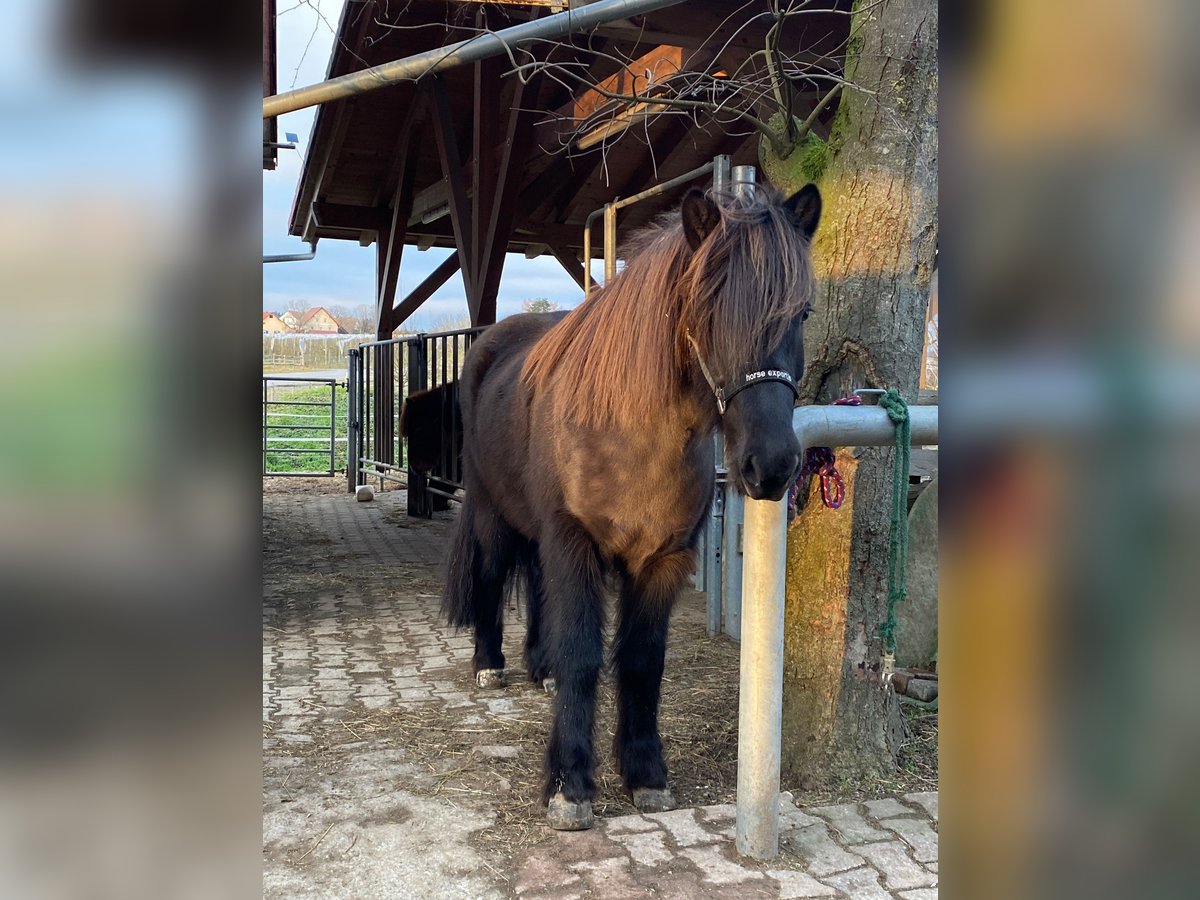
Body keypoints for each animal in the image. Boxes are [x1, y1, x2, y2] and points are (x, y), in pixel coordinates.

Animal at [446, 183, 820, 830]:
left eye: (801, 313)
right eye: (709, 306)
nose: (771, 465)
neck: (629, 434)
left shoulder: (661, 560)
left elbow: (643, 661)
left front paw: (645, 774)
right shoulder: (574, 543)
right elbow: (582, 656)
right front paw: (570, 787)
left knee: (538, 585)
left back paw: (538, 668)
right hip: (494, 514)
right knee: (492, 575)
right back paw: (490, 664)